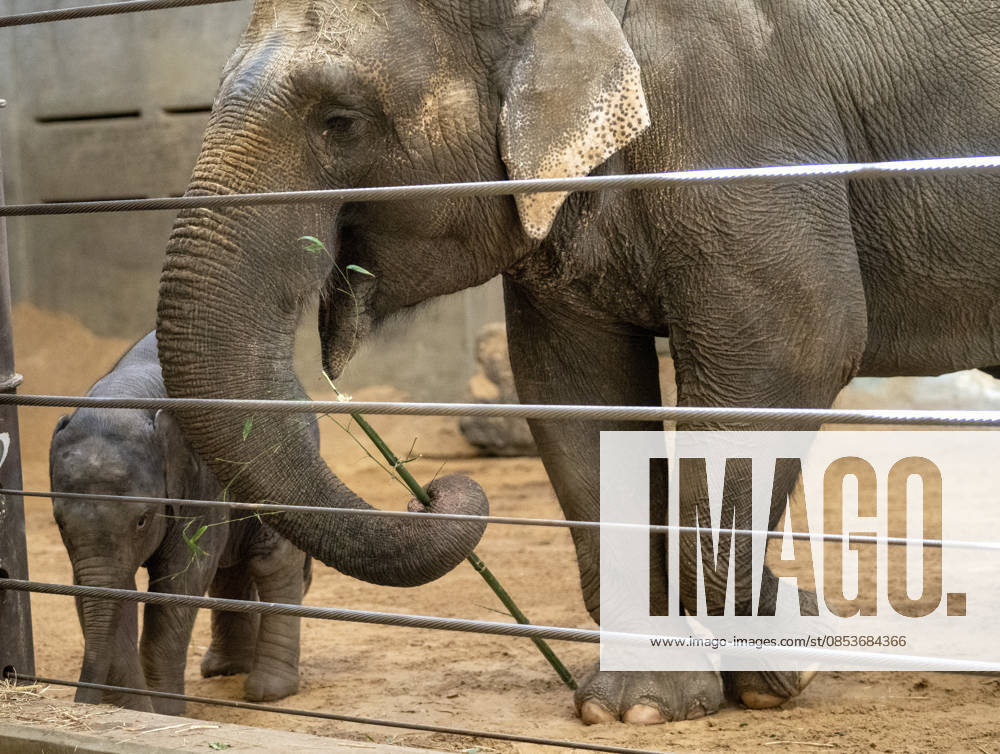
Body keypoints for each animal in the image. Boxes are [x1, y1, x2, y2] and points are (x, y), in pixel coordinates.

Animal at [49, 331, 312, 713]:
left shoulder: (199, 476)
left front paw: (164, 711)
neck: (125, 397)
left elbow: (182, 576)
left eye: (142, 521)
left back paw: (268, 691)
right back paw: (224, 669)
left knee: (271, 562)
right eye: (59, 523)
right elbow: (109, 590)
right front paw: (135, 711)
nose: (82, 702)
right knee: (229, 567)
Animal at [155, 0, 1000, 726]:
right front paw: (635, 704)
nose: (436, 490)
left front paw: (770, 667)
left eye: (339, 120)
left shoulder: (736, 124)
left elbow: (798, 345)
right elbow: (574, 388)